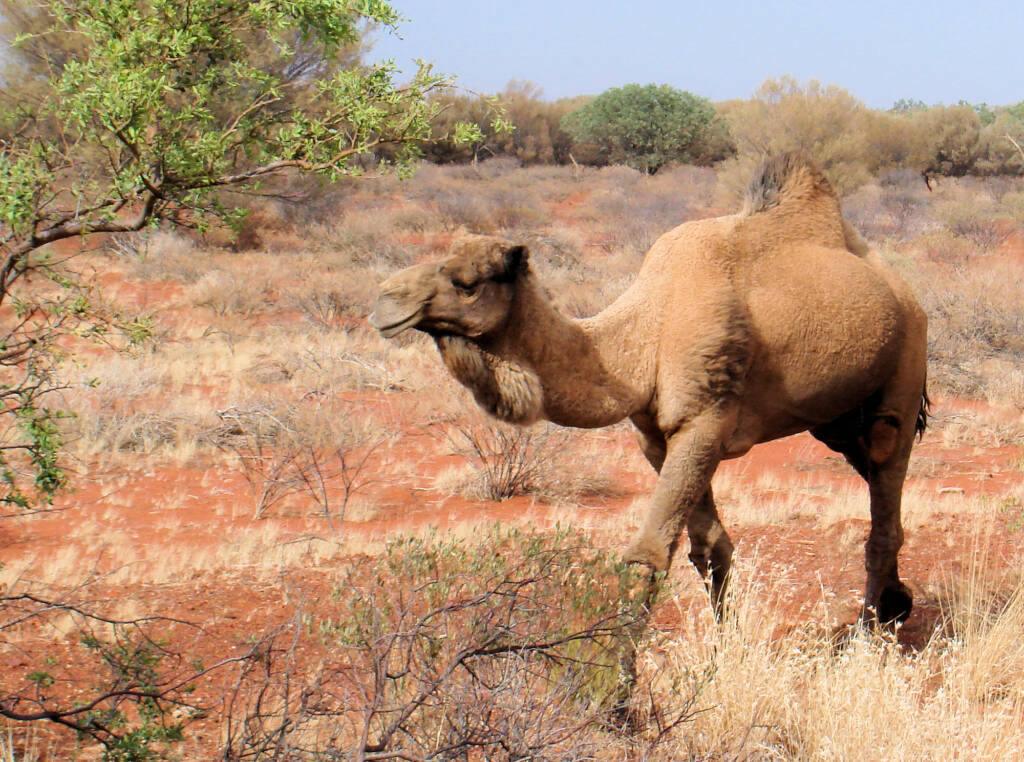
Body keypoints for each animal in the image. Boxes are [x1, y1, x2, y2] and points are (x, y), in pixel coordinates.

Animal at [370, 154, 928, 627]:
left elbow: (649, 555)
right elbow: (710, 548)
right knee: (872, 476)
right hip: (835, 421)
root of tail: (902, 289)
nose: (385, 302)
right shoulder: (655, 437)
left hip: (904, 368)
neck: (641, 337)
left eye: (467, 282)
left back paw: (870, 630)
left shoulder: (702, 421)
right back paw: (895, 603)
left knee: (885, 478)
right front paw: (724, 651)